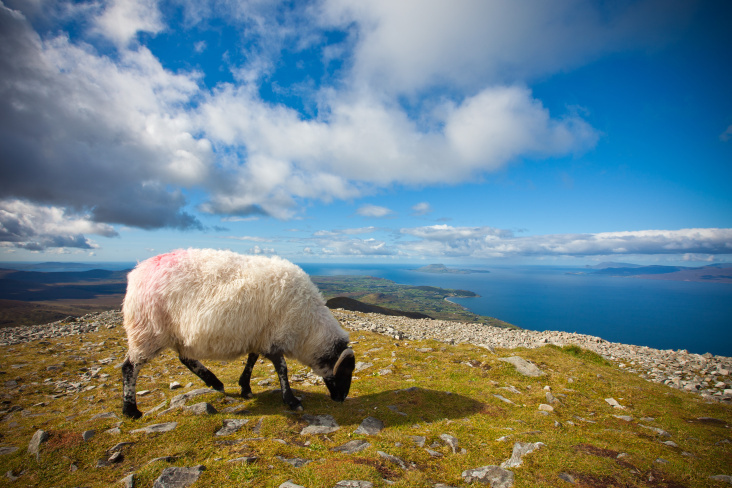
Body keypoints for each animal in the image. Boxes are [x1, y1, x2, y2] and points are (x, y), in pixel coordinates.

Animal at [120, 250, 354, 418]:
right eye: (345, 371)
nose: (342, 398)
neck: (308, 327)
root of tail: (138, 270)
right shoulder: (274, 337)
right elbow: (282, 368)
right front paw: (291, 400)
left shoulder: (260, 336)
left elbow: (252, 359)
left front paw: (245, 387)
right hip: (147, 330)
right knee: (130, 367)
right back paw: (131, 410)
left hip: (175, 333)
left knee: (185, 358)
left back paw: (214, 382)